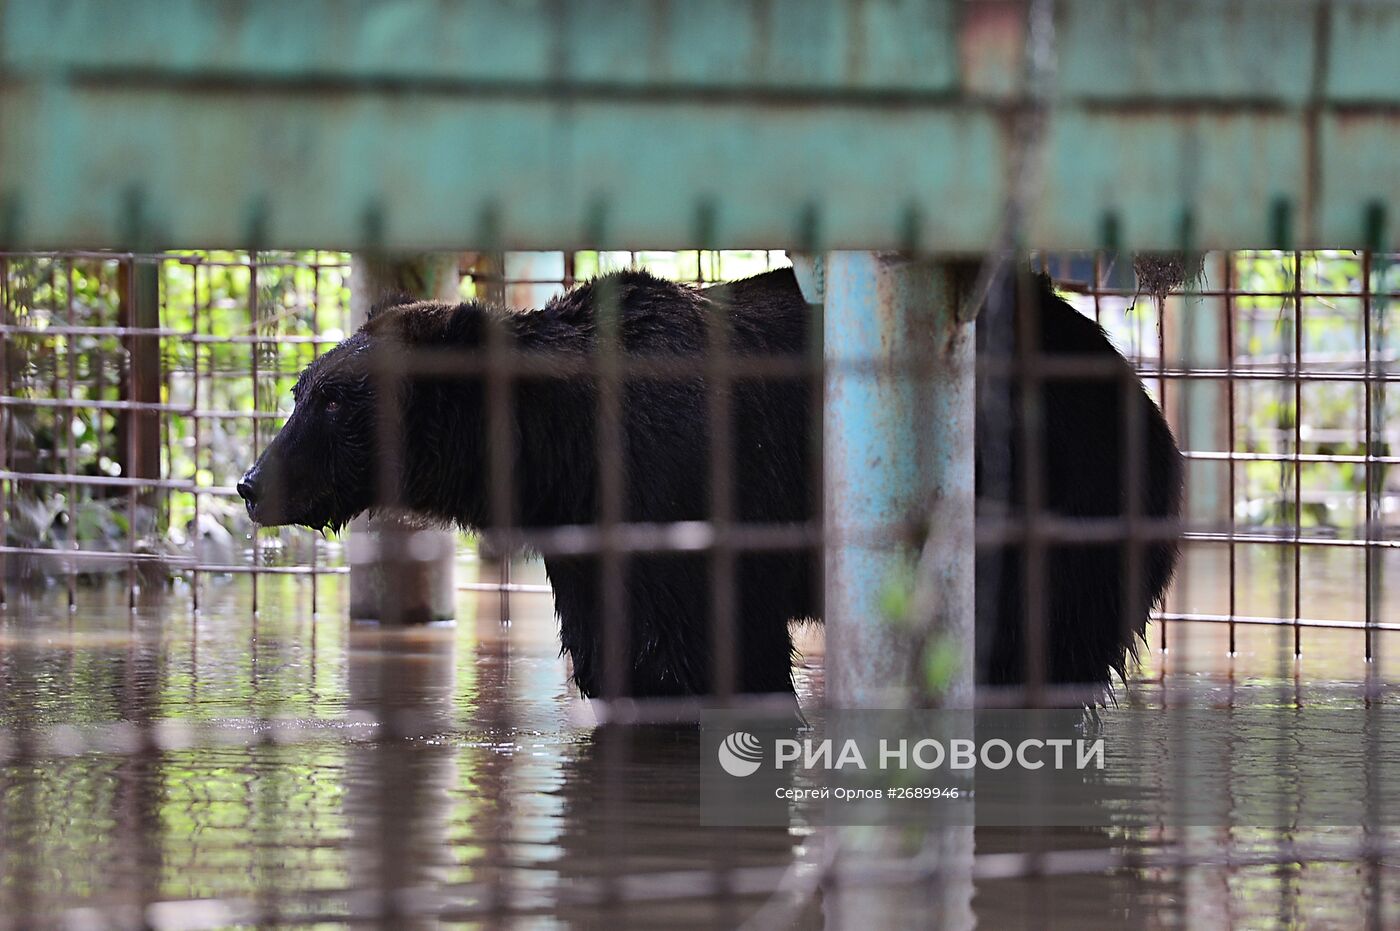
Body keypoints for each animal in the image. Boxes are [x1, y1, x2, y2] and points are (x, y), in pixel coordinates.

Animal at [240, 267, 1181, 697]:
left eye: (332, 400)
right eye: (300, 388)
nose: (251, 482)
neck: (559, 444)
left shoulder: (682, 485)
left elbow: (708, 649)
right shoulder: (591, 527)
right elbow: (621, 650)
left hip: (1069, 493)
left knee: (1039, 641)